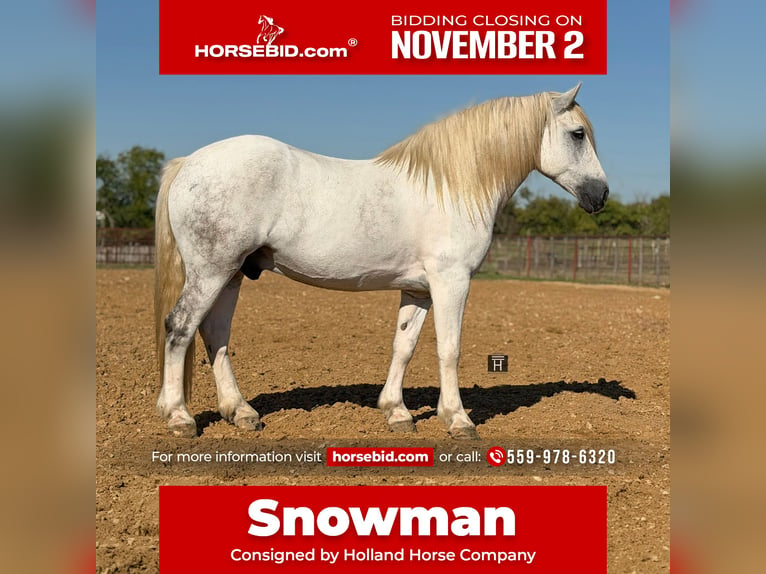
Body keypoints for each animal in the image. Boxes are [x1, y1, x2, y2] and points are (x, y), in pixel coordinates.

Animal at [154, 83, 608, 439]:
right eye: (578, 134)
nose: (601, 195)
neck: (452, 186)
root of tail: (189, 162)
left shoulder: (418, 290)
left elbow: (403, 346)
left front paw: (396, 412)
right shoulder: (451, 282)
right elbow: (450, 348)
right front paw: (457, 419)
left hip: (231, 274)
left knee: (214, 334)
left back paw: (241, 412)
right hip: (211, 272)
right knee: (180, 328)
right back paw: (179, 417)